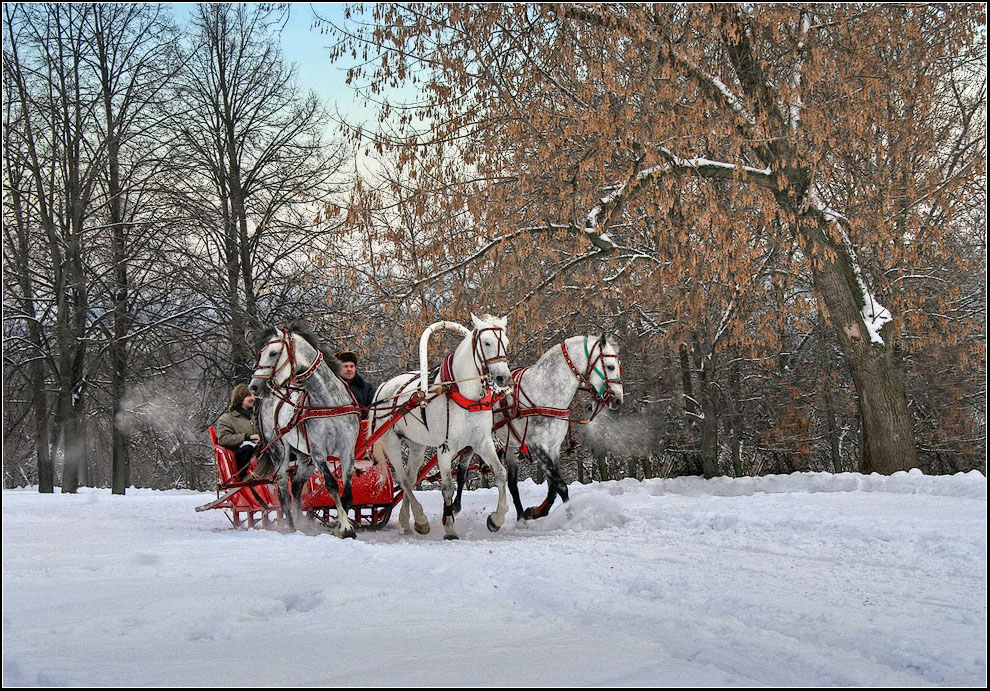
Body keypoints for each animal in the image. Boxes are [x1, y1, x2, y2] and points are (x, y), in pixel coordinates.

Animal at [250, 324, 362, 540]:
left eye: (273, 353)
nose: (254, 386)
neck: (328, 402)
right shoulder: (319, 452)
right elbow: (331, 484)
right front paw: (344, 527)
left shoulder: (347, 451)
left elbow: (347, 491)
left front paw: (340, 526)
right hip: (280, 452)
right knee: (284, 492)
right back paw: (293, 528)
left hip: (304, 458)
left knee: (296, 485)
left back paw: (301, 522)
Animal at [370, 314, 512, 540]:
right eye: (487, 342)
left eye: (506, 343)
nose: (503, 377)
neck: (464, 394)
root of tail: (383, 387)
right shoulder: (445, 448)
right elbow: (447, 487)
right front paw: (450, 528)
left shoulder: (481, 442)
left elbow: (500, 473)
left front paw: (496, 519)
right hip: (391, 442)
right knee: (403, 480)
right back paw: (420, 520)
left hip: (417, 445)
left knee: (411, 478)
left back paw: (407, 522)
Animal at [460, 334, 624, 520]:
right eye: (610, 366)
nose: (618, 399)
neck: (545, 393)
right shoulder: (536, 446)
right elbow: (561, 485)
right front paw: (568, 515)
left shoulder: (554, 447)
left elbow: (553, 486)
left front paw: (536, 511)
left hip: (511, 446)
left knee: (512, 483)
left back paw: (520, 517)